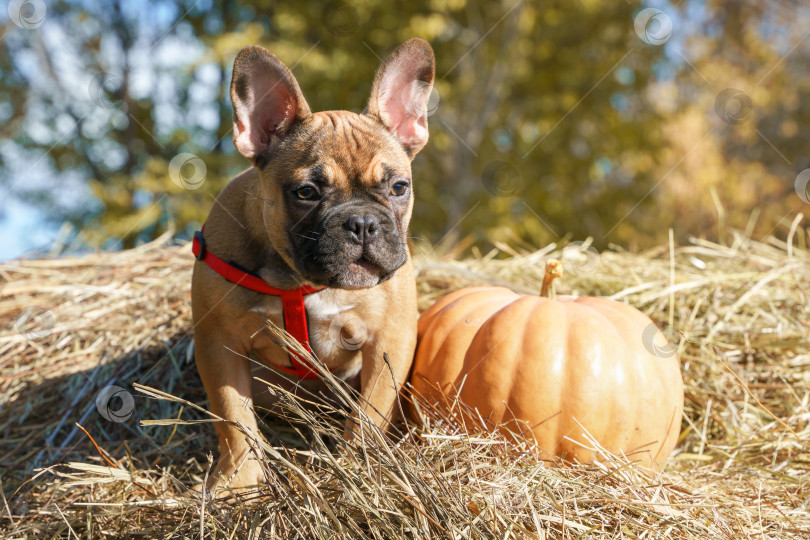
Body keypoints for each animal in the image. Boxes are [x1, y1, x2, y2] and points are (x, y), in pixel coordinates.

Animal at [190, 40, 432, 492]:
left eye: (398, 188)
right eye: (305, 192)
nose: (362, 222)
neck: (298, 280)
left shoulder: (388, 340)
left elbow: (368, 415)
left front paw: (359, 468)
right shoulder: (218, 343)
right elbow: (234, 418)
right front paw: (240, 481)